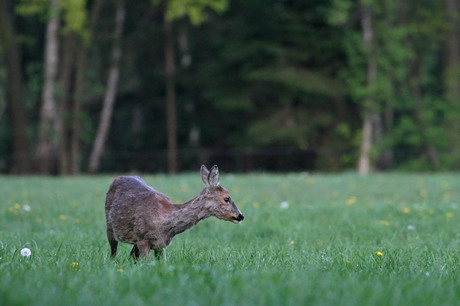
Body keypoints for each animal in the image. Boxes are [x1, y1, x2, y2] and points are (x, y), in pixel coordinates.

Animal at [104, 164, 244, 260]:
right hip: (110, 227)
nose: (240, 216)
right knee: (113, 252)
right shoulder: (142, 238)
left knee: (131, 256)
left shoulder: (160, 245)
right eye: (226, 198)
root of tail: (118, 177)